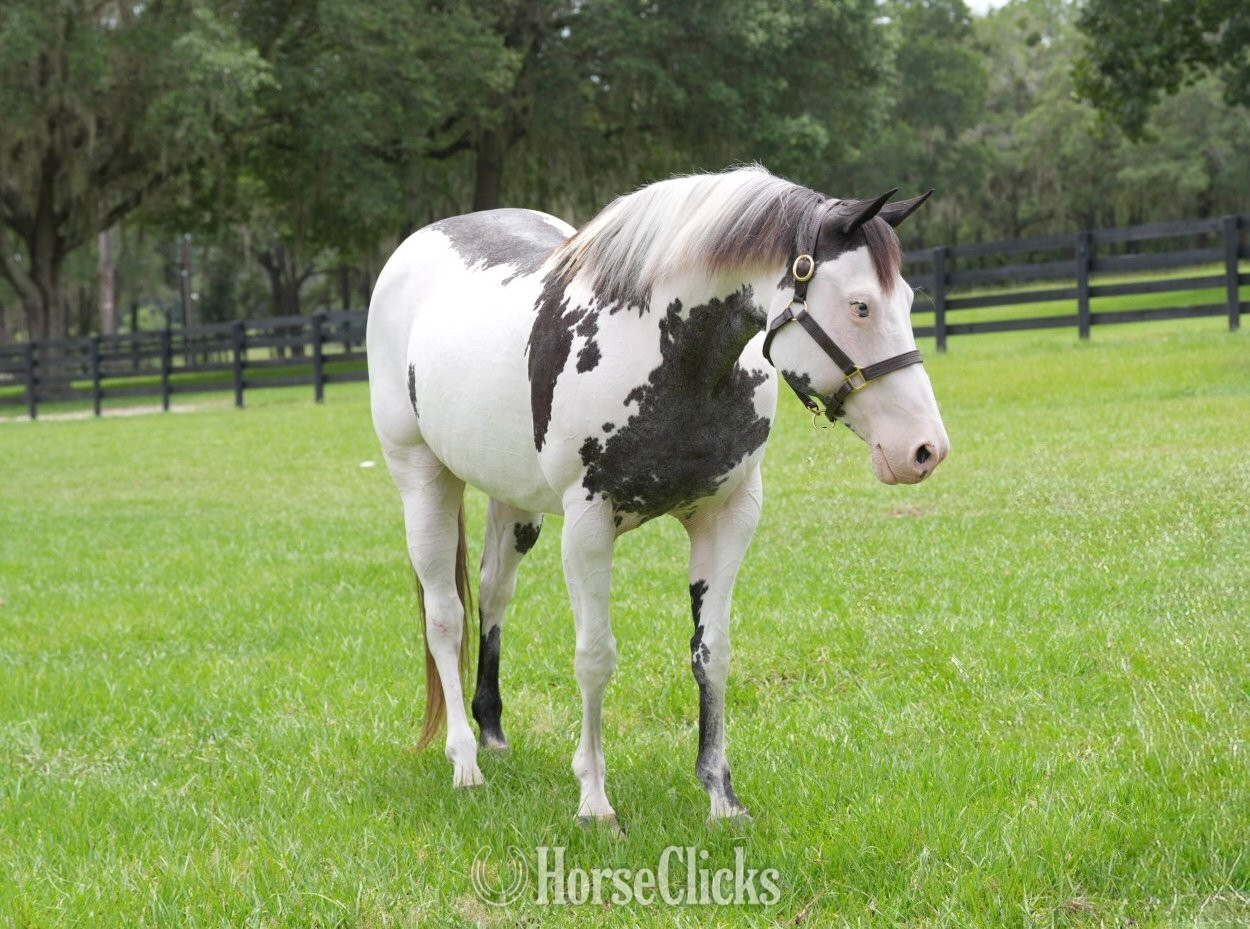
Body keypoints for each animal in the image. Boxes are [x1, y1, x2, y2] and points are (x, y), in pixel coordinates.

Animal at [366, 165, 949, 826]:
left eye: (908, 300)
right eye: (860, 306)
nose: (924, 449)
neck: (666, 353)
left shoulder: (728, 518)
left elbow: (712, 652)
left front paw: (721, 794)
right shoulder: (588, 528)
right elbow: (595, 658)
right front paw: (594, 800)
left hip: (513, 501)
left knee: (493, 593)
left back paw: (492, 731)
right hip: (422, 479)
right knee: (446, 615)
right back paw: (465, 761)